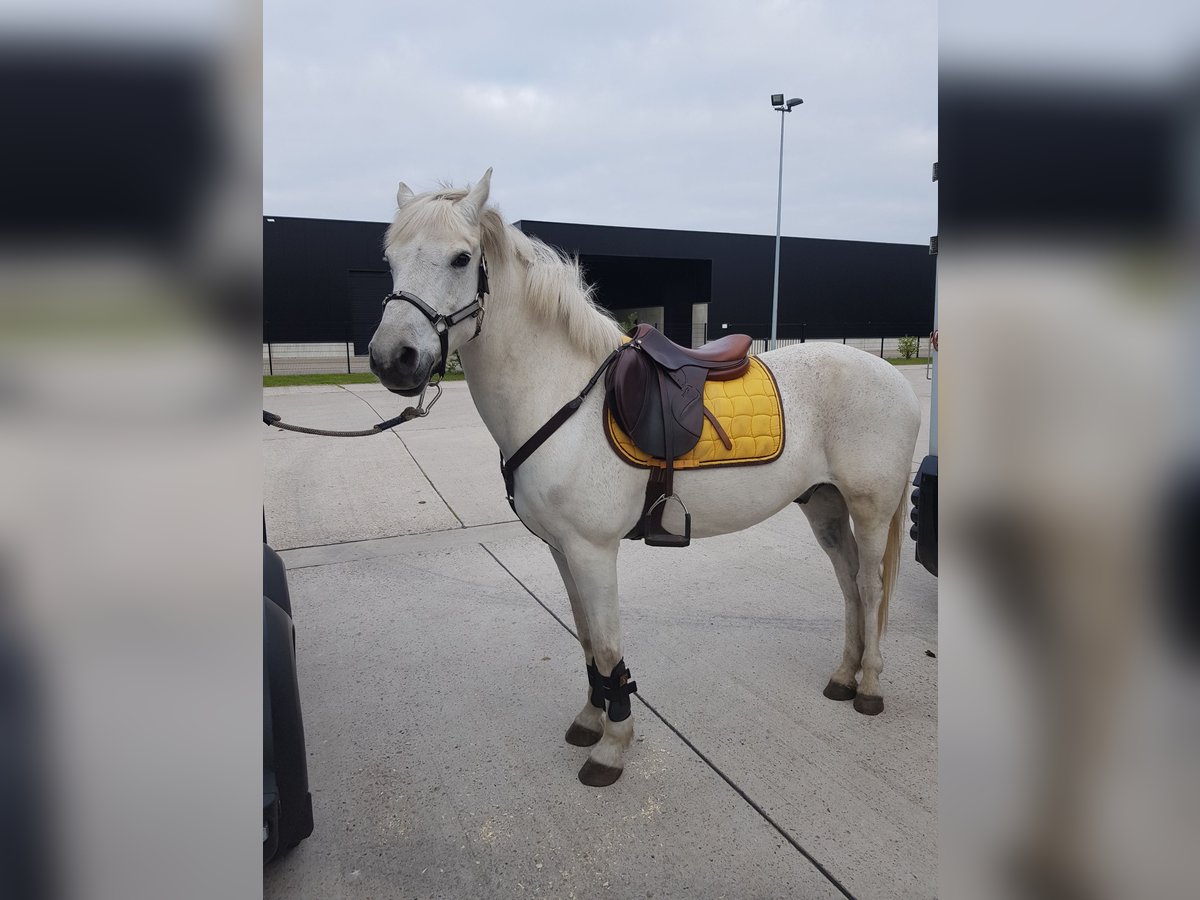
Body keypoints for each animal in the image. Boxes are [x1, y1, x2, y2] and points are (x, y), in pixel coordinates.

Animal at [369, 170, 921, 787]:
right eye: (390, 260)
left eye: (462, 258)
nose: (393, 358)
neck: (563, 396)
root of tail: (892, 376)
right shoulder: (563, 550)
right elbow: (587, 638)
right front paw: (591, 719)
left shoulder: (592, 550)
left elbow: (609, 648)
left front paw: (612, 746)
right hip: (823, 504)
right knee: (848, 582)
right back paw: (844, 675)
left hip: (870, 507)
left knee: (871, 587)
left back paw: (868, 686)